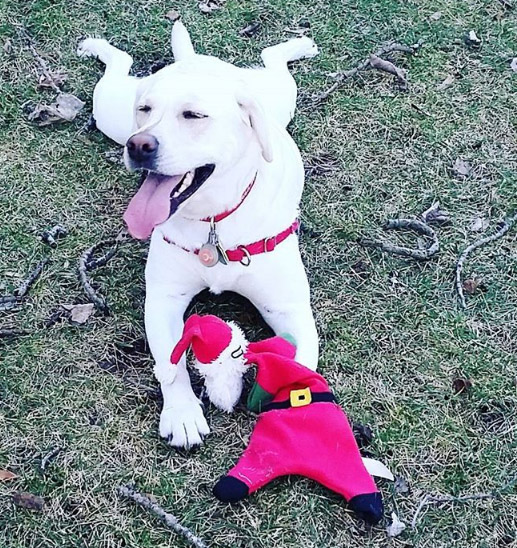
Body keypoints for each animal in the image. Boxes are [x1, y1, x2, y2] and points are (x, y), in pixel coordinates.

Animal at [77, 22, 318, 450]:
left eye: (193, 115)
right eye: (146, 111)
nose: (139, 145)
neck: (213, 223)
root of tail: (195, 60)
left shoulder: (290, 311)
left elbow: (300, 369)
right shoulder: (164, 299)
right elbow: (170, 365)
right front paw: (183, 414)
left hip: (281, 96)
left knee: (273, 58)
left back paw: (299, 45)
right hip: (110, 111)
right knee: (119, 63)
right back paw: (96, 46)